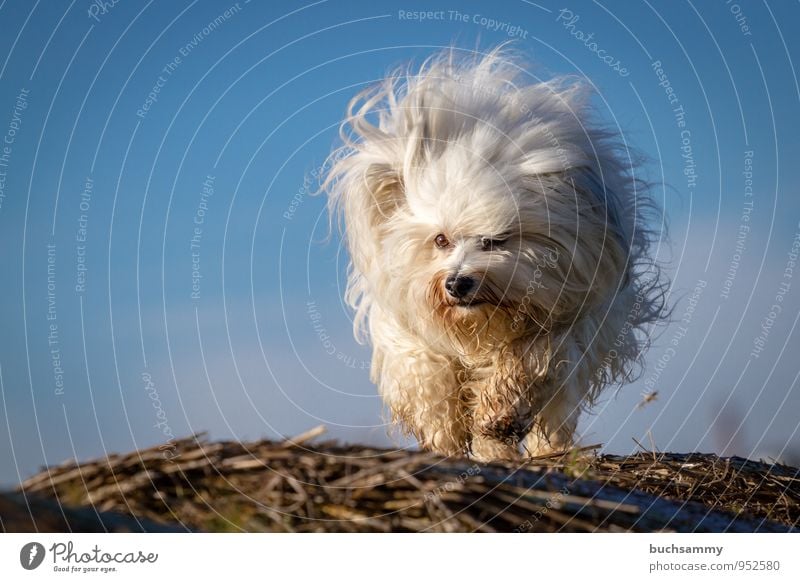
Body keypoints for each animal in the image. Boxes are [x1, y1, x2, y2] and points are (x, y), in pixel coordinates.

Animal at [322, 48, 664, 464]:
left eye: (495, 240)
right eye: (440, 239)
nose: (457, 283)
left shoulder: (570, 318)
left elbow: (524, 364)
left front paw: (495, 417)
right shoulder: (408, 329)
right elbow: (430, 380)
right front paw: (445, 437)